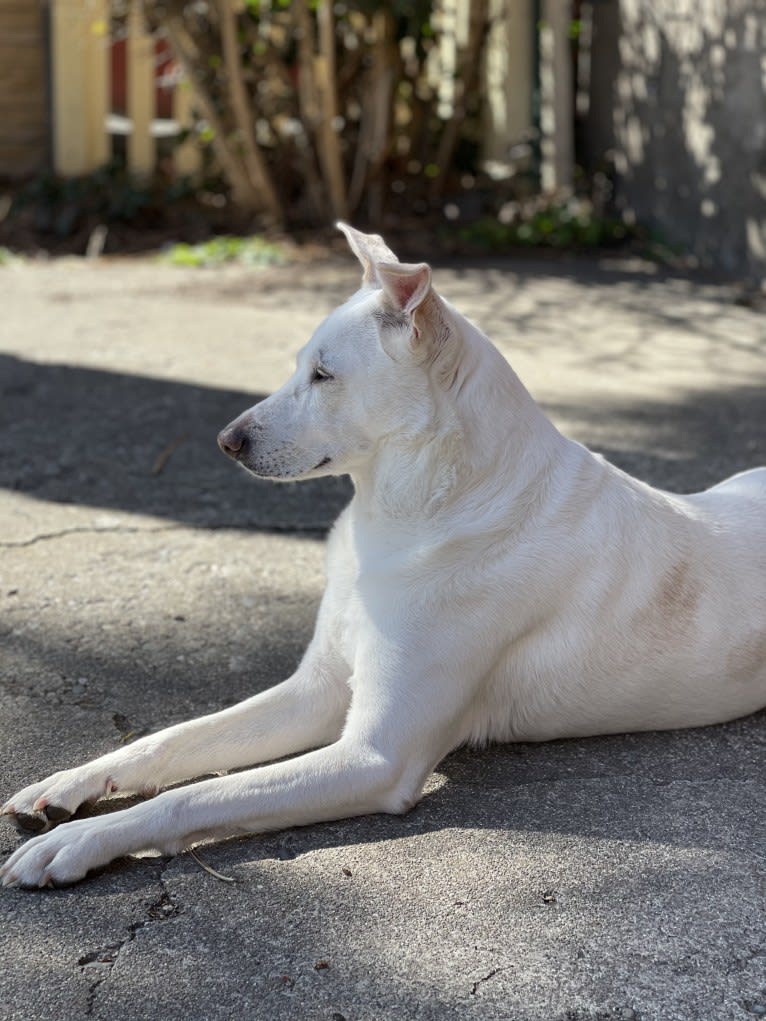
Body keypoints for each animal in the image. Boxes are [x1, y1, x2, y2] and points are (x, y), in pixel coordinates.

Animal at [1, 225, 766, 886]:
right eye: (299, 366)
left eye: (324, 375)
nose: (226, 440)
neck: (414, 509)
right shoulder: (314, 693)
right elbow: (169, 741)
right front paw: (68, 785)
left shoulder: (373, 755)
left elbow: (193, 797)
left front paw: (80, 840)